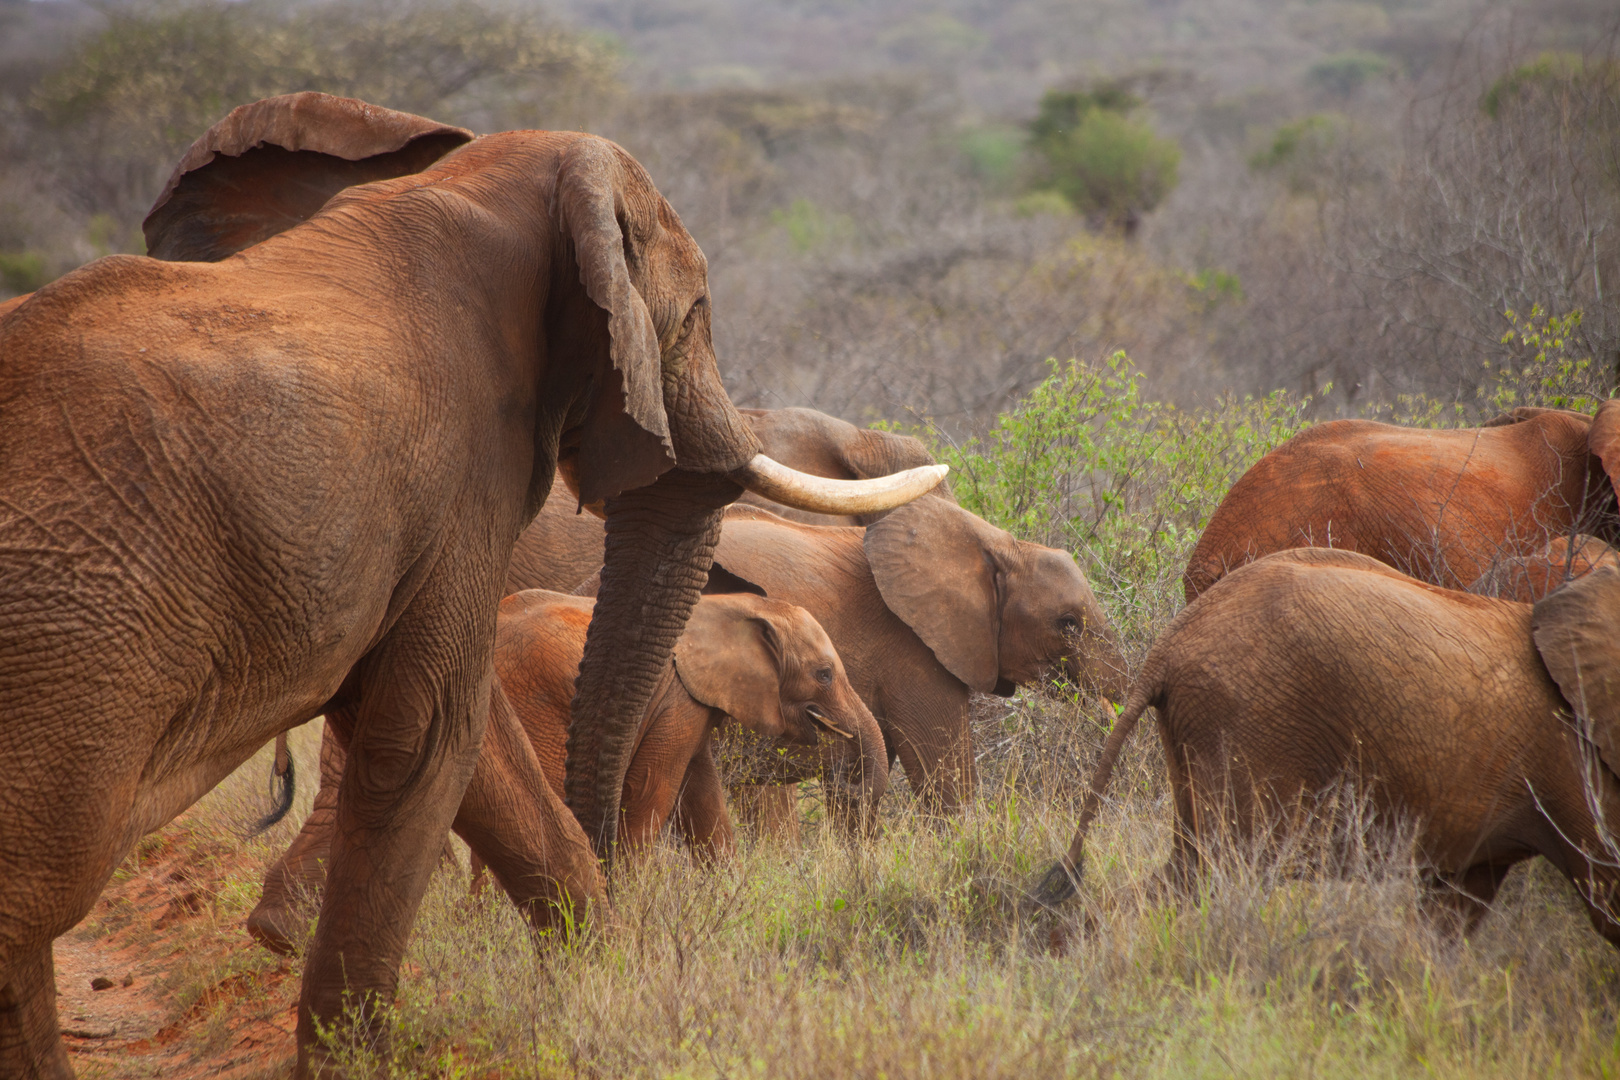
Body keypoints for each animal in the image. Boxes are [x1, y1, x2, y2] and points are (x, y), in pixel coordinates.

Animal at [0, 95, 939, 1080]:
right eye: (692, 317)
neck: (476, 187)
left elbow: (468, 737)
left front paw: (609, 983)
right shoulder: (461, 479)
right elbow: (427, 736)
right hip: (71, 640)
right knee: (42, 884)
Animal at [1043, 550, 1620, 945]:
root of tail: (1167, 646)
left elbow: (1451, 910)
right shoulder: (1574, 755)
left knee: (1191, 868)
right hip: (1252, 718)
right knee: (1218, 870)